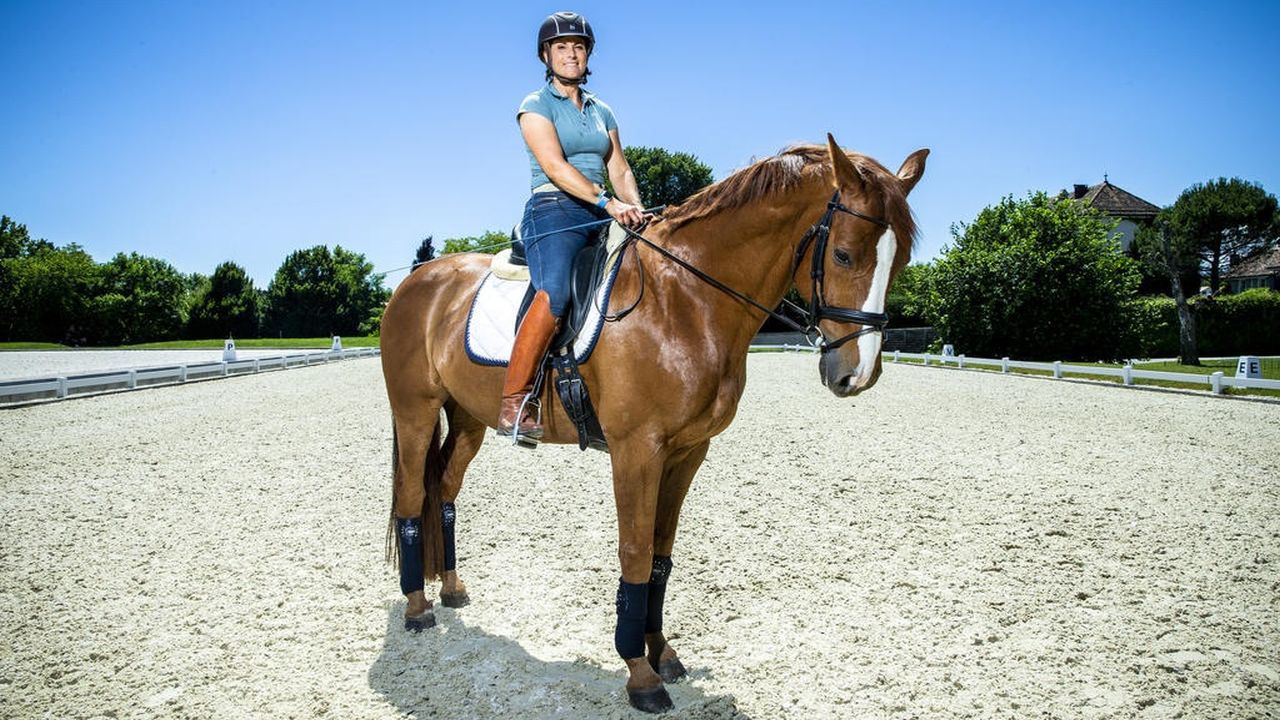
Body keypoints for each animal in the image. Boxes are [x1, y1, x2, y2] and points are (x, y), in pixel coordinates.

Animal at [373, 134, 926, 712]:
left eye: (902, 261)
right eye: (843, 254)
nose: (857, 375)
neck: (684, 299)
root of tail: (418, 280)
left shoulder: (687, 451)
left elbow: (662, 555)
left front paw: (661, 652)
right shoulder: (637, 449)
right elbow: (636, 553)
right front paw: (639, 674)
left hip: (468, 421)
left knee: (445, 491)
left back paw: (451, 589)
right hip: (414, 412)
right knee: (412, 495)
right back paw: (417, 607)